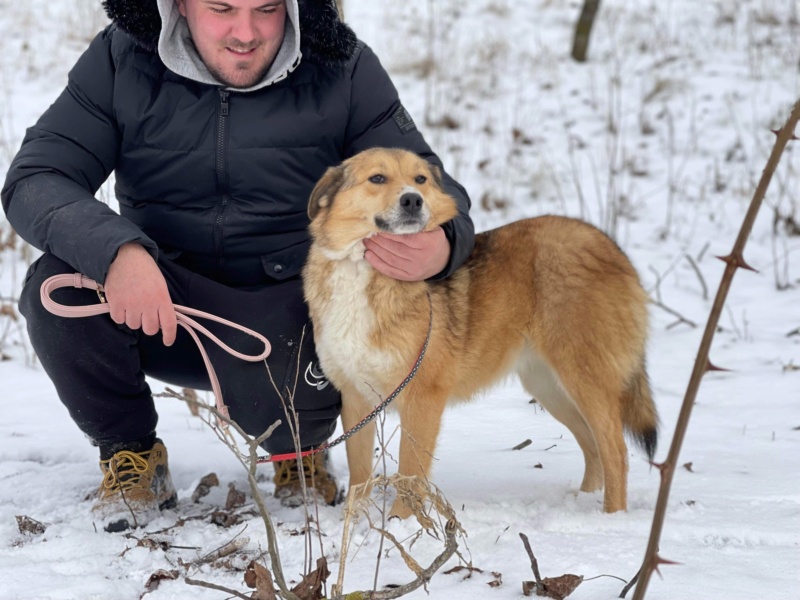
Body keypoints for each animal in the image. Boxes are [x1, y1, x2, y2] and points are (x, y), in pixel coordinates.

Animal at [304, 148, 660, 516]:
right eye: (377, 178)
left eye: (420, 179)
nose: (413, 200)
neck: (362, 267)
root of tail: (611, 246)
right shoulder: (356, 398)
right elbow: (360, 476)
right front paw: (357, 524)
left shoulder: (422, 397)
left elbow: (410, 475)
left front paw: (402, 523)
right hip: (550, 387)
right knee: (593, 446)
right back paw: (584, 501)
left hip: (584, 378)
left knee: (615, 451)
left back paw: (611, 516)